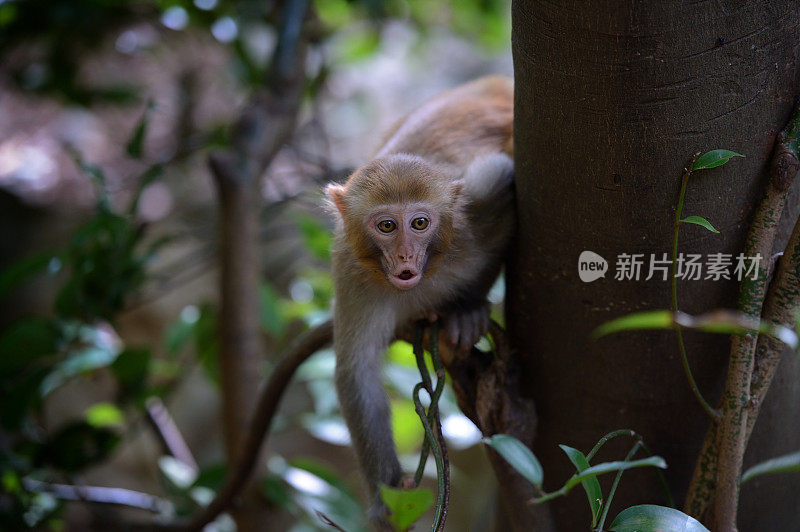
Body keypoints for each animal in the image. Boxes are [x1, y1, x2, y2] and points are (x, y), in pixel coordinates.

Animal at [324, 76, 512, 528]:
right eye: (387, 226)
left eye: (420, 223)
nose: (407, 256)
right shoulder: (350, 267)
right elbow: (357, 372)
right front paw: (386, 499)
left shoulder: (470, 220)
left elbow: (500, 182)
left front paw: (467, 310)